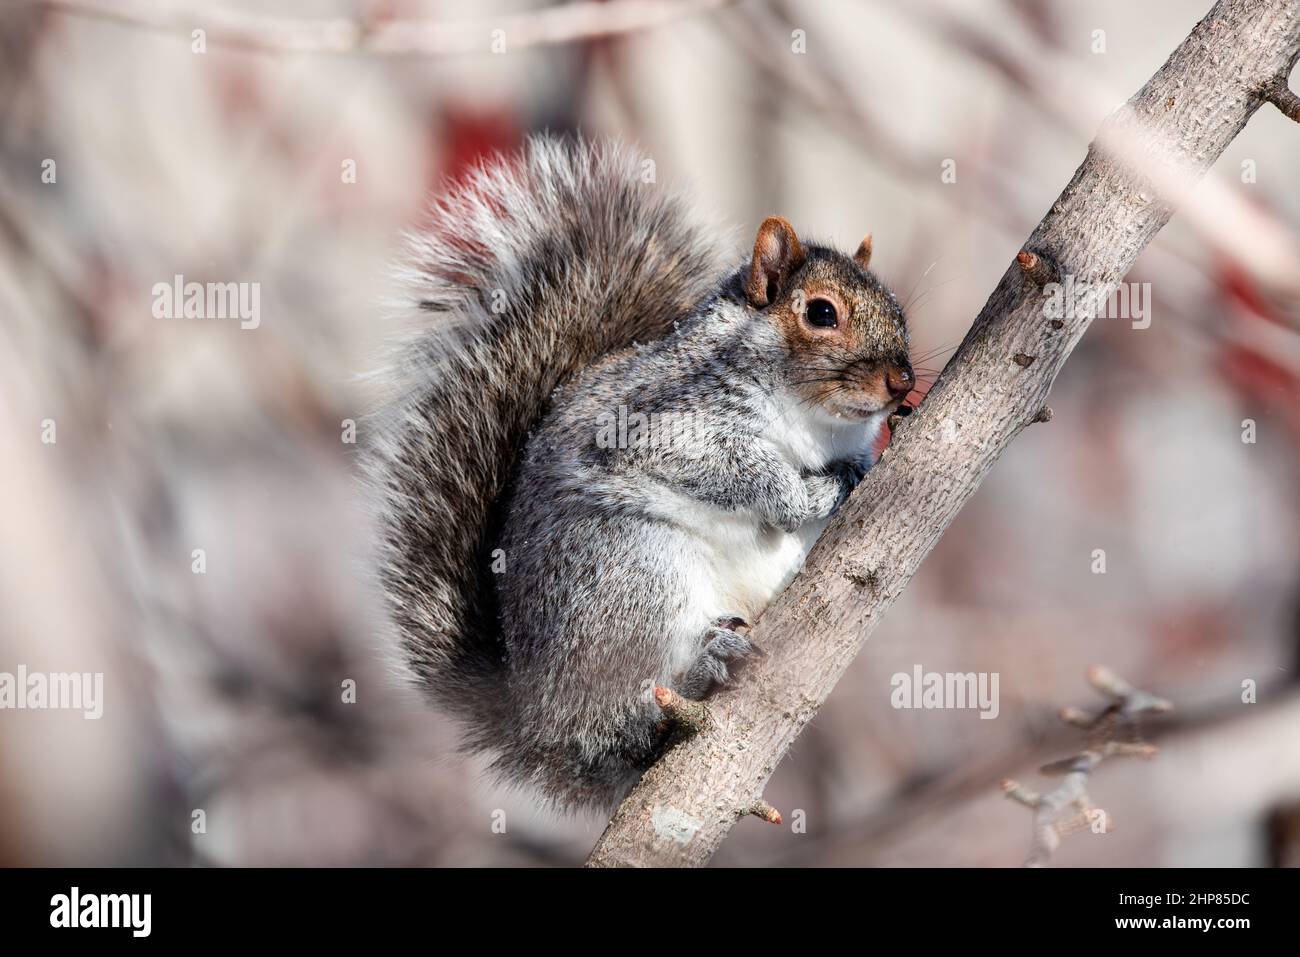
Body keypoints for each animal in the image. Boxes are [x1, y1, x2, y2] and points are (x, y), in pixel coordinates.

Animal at [366, 138, 915, 816]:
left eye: (897, 307)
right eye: (820, 313)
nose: (902, 383)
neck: (819, 425)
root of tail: (539, 726)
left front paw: (860, 469)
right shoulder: (657, 425)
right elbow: (737, 470)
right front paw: (805, 494)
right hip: (636, 573)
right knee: (626, 724)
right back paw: (698, 673)